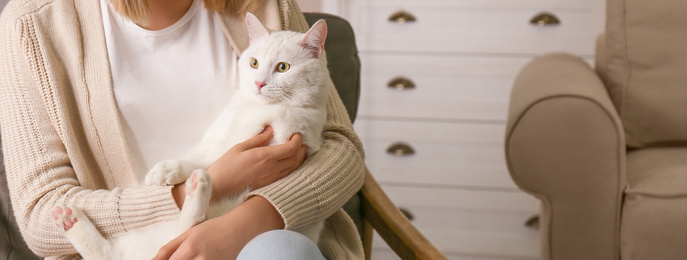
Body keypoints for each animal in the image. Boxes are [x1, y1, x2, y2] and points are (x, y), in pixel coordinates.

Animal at [52, 13, 332, 258]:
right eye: (254, 63)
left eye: (283, 67)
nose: (259, 83)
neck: (255, 108)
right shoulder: (213, 141)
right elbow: (198, 157)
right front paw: (166, 171)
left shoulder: (289, 137)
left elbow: (214, 159)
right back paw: (70, 220)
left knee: (188, 229)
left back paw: (198, 188)